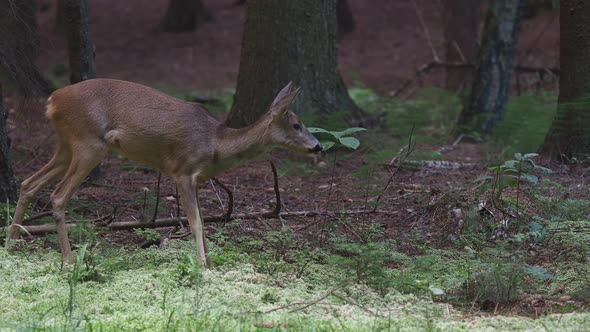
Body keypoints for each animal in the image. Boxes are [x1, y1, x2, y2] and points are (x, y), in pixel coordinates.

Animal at [6, 79, 322, 266]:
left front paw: (210, 264)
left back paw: (10, 246)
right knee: (58, 197)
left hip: (66, 146)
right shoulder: (181, 171)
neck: (215, 144)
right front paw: (203, 268)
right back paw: (70, 261)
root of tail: (52, 100)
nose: (318, 146)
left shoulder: (197, 180)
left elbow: (203, 220)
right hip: (89, 144)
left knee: (28, 183)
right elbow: (195, 222)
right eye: (296, 125)